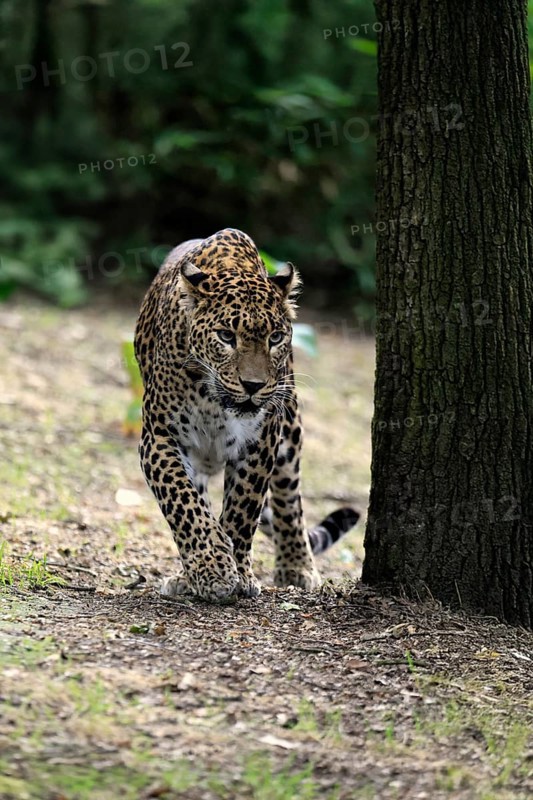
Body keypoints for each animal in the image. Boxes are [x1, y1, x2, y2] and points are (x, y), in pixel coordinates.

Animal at [134, 228, 359, 601]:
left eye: (276, 337)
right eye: (226, 336)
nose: (253, 385)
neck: (212, 399)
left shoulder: (261, 440)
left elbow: (243, 509)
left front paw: (237, 573)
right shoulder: (158, 437)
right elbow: (184, 504)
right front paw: (211, 569)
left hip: (290, 428)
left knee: (289, 499)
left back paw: (297, 566)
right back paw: (187, 575)